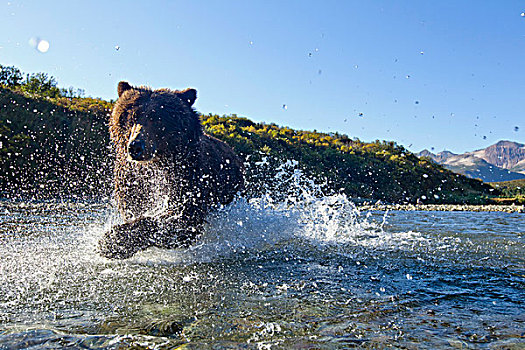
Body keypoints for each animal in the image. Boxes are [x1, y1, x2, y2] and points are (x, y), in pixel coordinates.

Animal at [98, 81, 244, 258]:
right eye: (131, 115)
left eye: (157, 118)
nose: (136, 147)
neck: (156, 165)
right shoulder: (132, 181)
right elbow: (135, 206)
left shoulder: (188, 175)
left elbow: (182, 217)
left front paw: (113, 240)